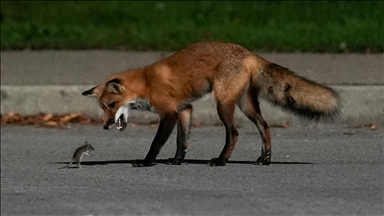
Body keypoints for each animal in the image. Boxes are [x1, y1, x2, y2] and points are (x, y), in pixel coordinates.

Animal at [82, 41, 340, 167]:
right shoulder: (184, 109)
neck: (146, 82)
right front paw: (177, 161)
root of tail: (248, 53)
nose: (105, 126)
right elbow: (182, 141)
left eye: (112, 105)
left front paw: (146, 163)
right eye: (103, 108)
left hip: (223, 104)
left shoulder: (169, 113)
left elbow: (156, 144)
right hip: (246, 105)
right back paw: (265, 159)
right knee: (265, 127)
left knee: (234, 133)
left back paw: (221, 161)